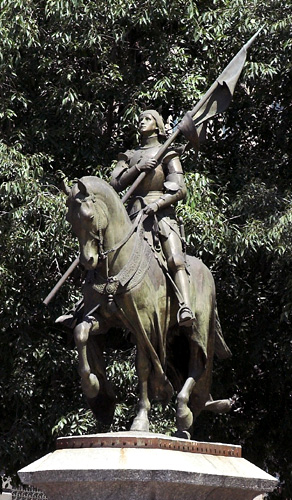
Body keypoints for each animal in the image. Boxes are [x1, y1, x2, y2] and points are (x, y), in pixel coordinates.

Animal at [62, 178, 230, 436]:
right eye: (70, 220)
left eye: (88, 216)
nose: (87, 261)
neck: (114, 267)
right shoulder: (104, 318)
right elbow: (81, 332)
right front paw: (91, 386)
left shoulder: (145, 324)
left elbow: (143, 367)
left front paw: (140, 420)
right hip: (173, 335)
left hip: (197, 329)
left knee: (196, 365)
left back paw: (184, 413)